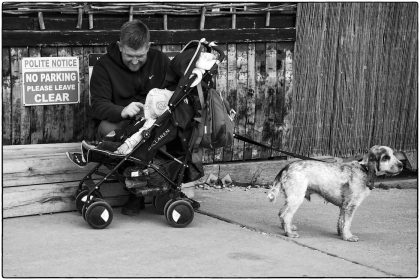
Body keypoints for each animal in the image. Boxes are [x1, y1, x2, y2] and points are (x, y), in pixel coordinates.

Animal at [270, 147, 404, 241]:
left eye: (393, 154)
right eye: (386, 157)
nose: (402, 165)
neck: (364, 169)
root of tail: (287, 166)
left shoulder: (343, 207)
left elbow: (341, 222)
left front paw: (341, 234)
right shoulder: (350, 206)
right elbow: (347, 223)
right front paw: (348, 237)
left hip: (291, 198)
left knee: (281, 213)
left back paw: (287, 228)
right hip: (297, 198)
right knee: (285, 215)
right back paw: (289, 233)